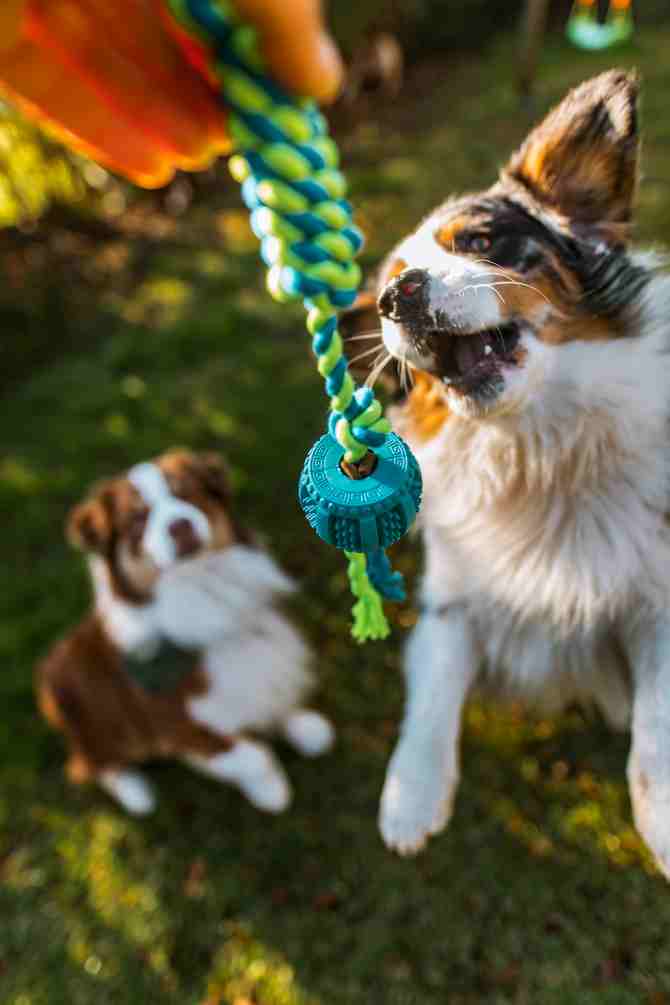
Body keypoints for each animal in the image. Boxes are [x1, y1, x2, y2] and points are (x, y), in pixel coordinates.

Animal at [35, 452, 333, 812]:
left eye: (186, 493)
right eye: (137, 519)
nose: (180, 526)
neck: (204, 590)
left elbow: (272, 691)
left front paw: (305, 727)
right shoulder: (177, 727)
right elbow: (252, 756)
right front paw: (271, 791)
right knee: (91, 766)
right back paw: (136, 793)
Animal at [351, 68, 670, 872]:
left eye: (480, 241)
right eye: (388, 288)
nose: (397, 299)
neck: (536, 449)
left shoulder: (660, 598)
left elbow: (655, 729)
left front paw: (664, 822)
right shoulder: (454, 598)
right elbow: (431, 691)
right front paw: (409, 798)